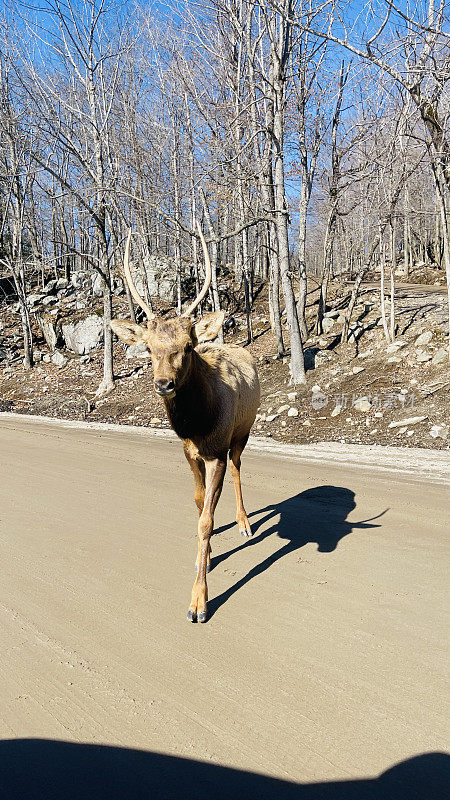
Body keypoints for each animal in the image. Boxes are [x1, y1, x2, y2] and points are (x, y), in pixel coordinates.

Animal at [110, 227, 260, 624]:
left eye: (188, 346)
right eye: (148, 348)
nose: (164, 383)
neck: (197, 424)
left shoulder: (216, 452)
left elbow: (206, 520)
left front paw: (198, 602)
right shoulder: (189, 452)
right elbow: (198, 505)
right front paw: (204, 558)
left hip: (243, 432)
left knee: (238, 467)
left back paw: (244, 522)